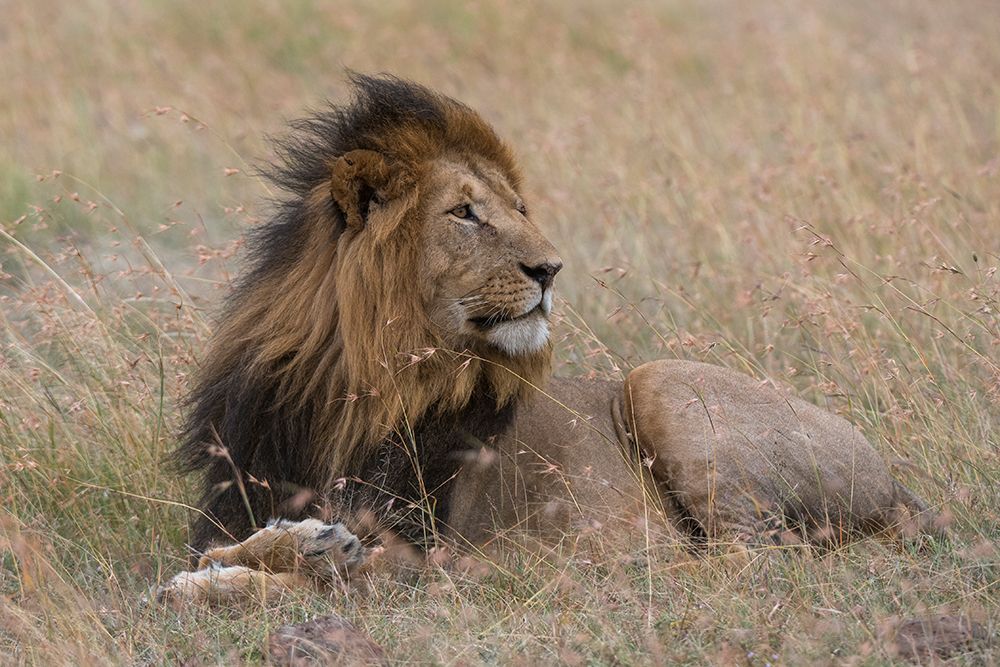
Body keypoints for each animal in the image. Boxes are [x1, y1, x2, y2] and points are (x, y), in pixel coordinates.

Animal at [164, 74, 940, 600]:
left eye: (518, 208)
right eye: (465, 213)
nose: (550, 268)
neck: (358, 383)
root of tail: (900, 486)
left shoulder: (419, 553)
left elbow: (310, 580)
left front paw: (259, 573)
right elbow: (217, 552)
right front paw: (260, 555)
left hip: (660, 382)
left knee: (754, 557)